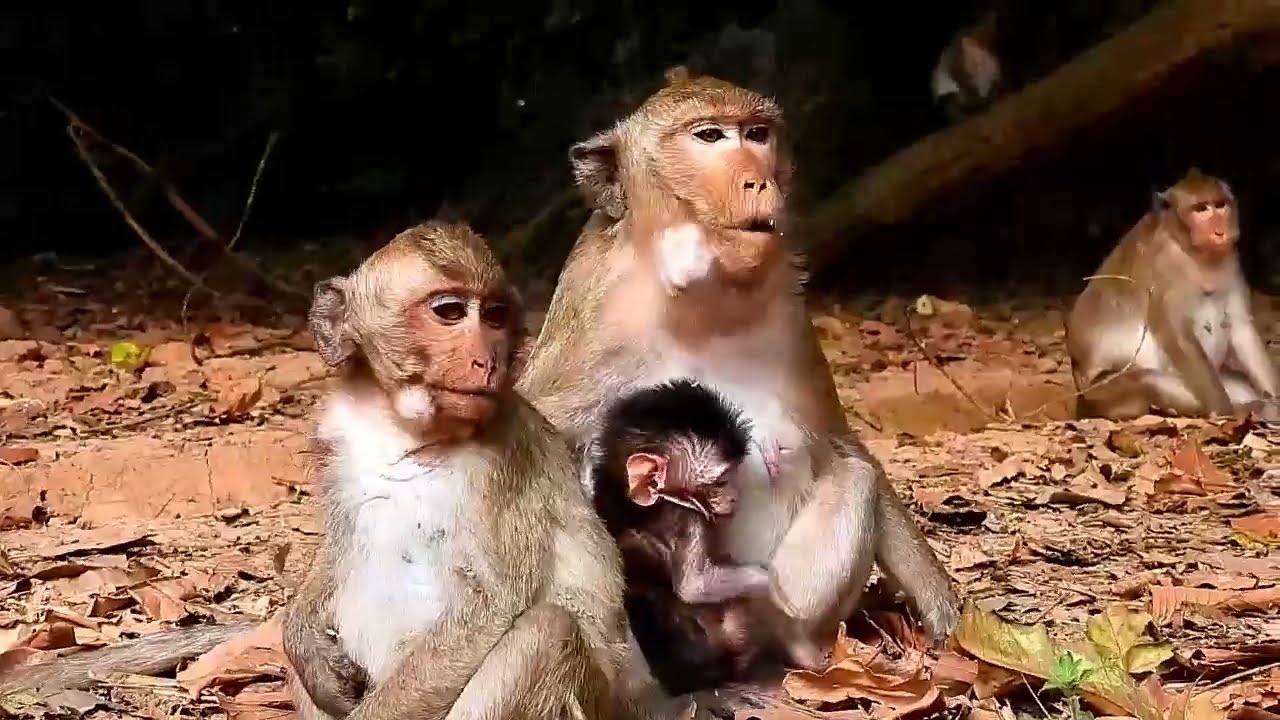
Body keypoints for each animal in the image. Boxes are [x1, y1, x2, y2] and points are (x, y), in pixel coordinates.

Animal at [278, 221, 677, 720]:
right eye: (449, 312)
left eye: (495, 316)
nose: (488, 360)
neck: (404, 430)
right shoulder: (337, 437)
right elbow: (337, 550)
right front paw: (303, 639)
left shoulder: (502, 465)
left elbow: (492, 604)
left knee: (546, 633)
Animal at [1066, 168, 1280, 423]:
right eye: (1201, 209)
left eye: (1220, 205)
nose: (1220, 231)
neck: (1191, 249)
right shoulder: (1164, 266)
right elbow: (1177, 335)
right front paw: (1224, 411)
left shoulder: (1231, 259)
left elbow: (1241, 328)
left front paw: (1276, 402)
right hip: (1102, 394)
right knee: (1146, 381)